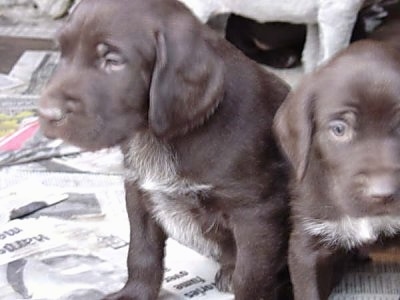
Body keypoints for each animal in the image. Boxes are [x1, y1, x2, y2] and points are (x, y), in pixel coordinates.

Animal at [38, 0, 294, 298]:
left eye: (113, 61)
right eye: (62, 53)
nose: (46, 114)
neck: (157, 136)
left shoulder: (257, 213)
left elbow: (252, 277)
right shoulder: (139, 192)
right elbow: (141, 253)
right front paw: (134, 293)